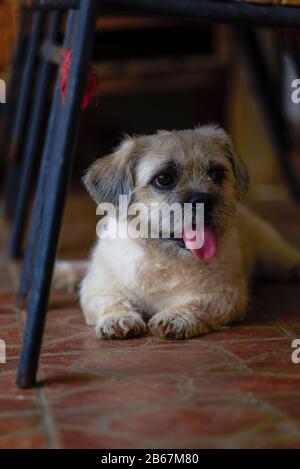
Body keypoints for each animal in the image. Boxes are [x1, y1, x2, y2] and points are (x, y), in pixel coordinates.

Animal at [55, 126, 300, 338]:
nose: (203, 199)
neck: (163, 260)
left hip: (276, 260)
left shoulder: (227, 294)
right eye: (164, 179)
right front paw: (118, 318)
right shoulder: (97, 287)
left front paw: (175, 317)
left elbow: (198, 304)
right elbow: (110, 300)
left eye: (217, 174)